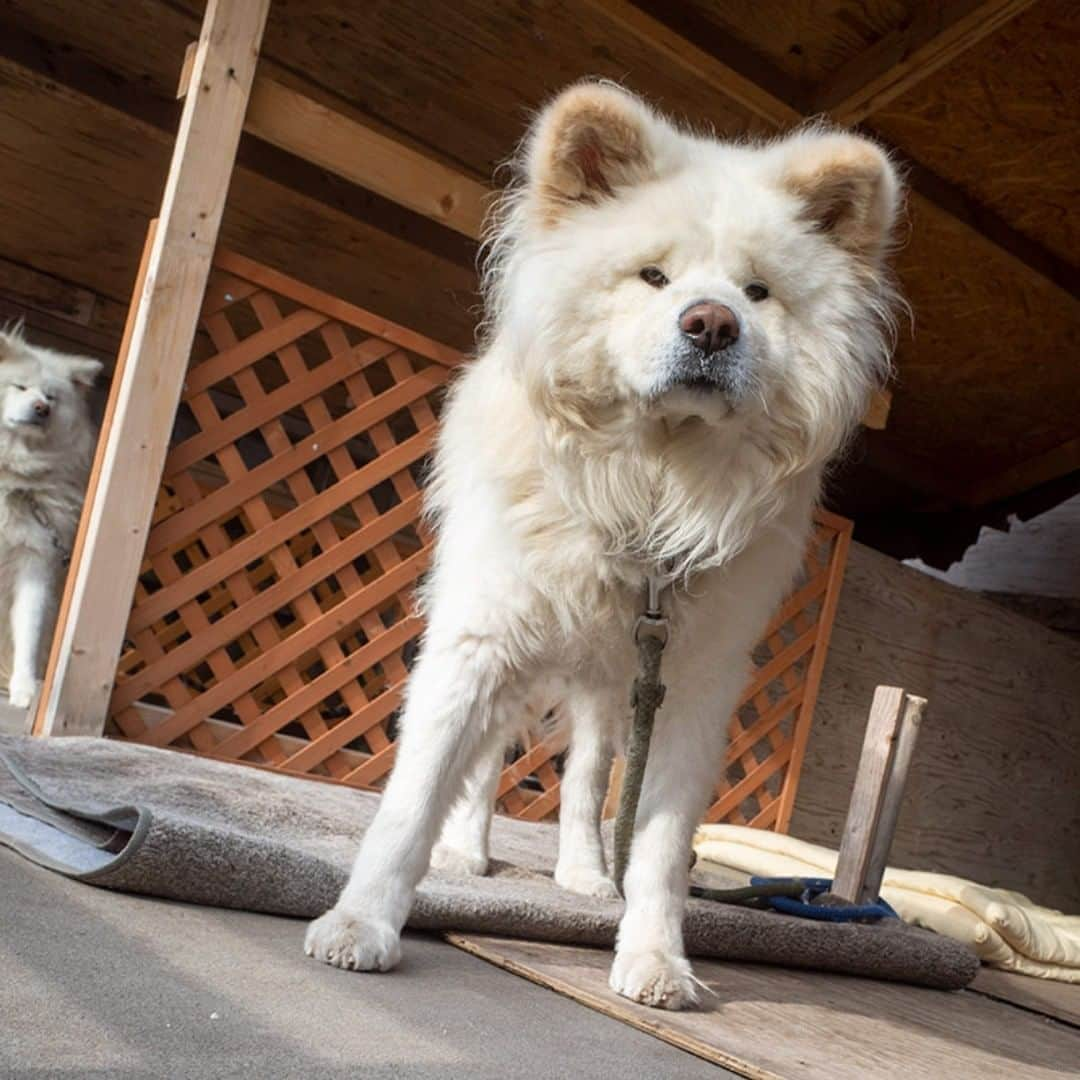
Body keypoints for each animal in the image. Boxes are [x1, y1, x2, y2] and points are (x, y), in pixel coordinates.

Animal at [0, 326, 100, 708]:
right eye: (20, 387)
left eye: (51, 398)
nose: (41, 409)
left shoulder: (35, 560)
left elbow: (28, 630)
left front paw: (24, 690)